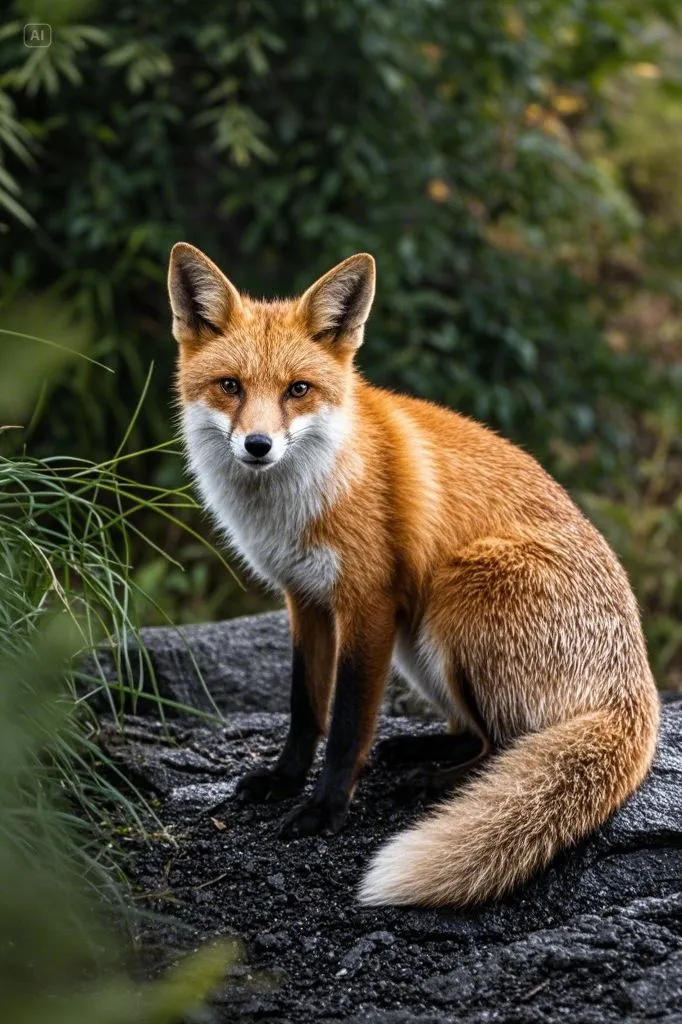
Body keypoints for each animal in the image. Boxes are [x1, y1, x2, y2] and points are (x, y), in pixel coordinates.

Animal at [168, 241, 660, 907]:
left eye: (298, 389)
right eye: (230, 387)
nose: (258, 445)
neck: (305, 497)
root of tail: (638, 687)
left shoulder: (367, 600)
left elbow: (347, 723)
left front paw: (325, 809)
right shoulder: (305, 599)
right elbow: (305, 708)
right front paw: (284, 779)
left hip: (456, 594)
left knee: (505, 746)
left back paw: (433, 783)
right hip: (417, 644)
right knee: (477, 732)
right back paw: (415, 750)